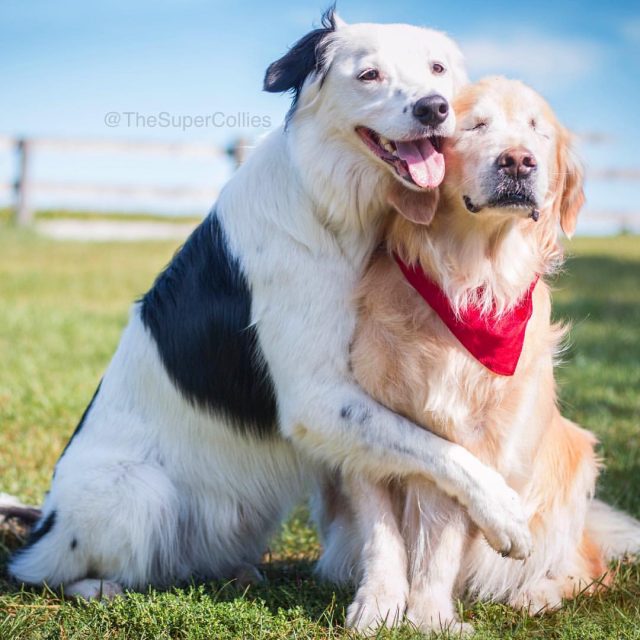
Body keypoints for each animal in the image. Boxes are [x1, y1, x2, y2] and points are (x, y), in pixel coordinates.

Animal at [10, 10, 532, 600]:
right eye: (369, 74)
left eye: (438, 69)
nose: (434, 108)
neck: (330, 206)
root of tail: (44, 525)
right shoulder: (316, 400)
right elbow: (433, 446)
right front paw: (504, 511)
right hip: (138, 492)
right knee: (49, 575)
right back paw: (99, 587)